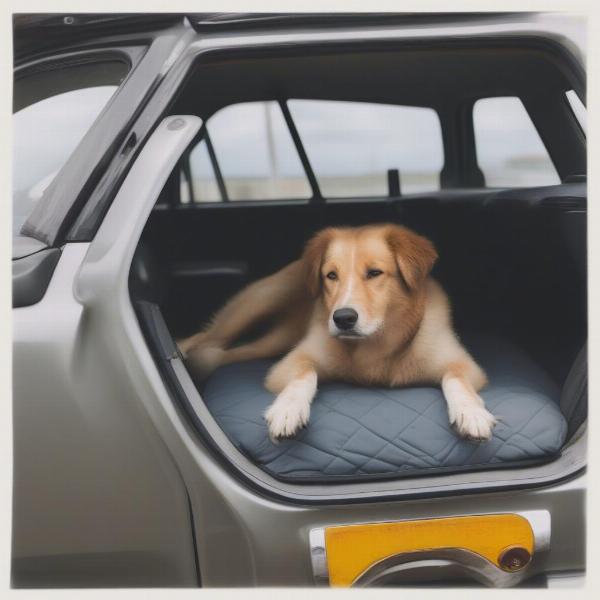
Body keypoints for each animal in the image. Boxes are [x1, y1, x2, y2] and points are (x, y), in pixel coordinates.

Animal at [178, 224, 496, 440]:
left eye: (375, 273)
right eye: (331, 276)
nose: (343, 318)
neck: (375, 346)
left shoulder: (463, 364)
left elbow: (456, 379)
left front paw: (471, 412)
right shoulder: (290, 363)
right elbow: (304, 374)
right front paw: (288, 409)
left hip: (271, 339)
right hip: (261, 305)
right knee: (209, 338)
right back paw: (184, 350)